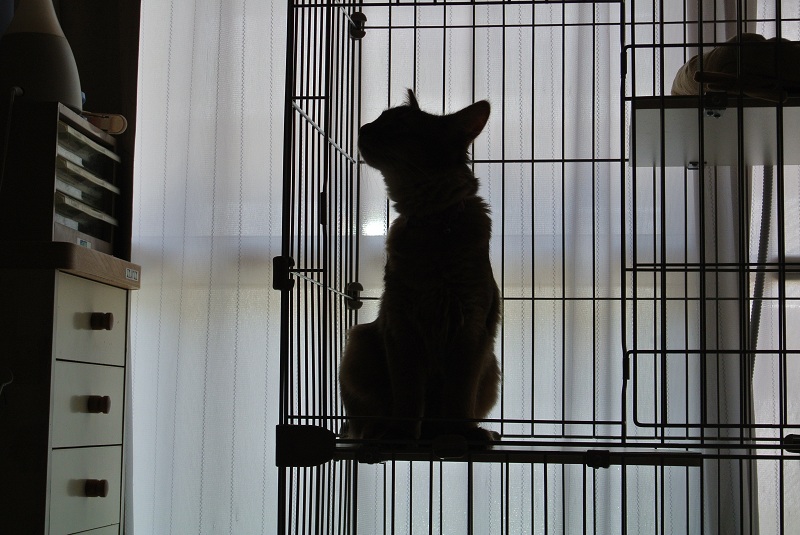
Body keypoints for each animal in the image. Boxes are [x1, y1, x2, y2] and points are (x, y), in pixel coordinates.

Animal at [339, 90, 501, 443]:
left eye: (399, 126)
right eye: (380, 118)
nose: (363, 128)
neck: (433, 227)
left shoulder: (471, 326)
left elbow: (460, 396)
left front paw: (463, 434)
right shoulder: (401, 324)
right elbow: (409, 393)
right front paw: (401, 433)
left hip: (492, 367)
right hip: (359, 342)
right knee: (358, 421)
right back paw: (377, 430)